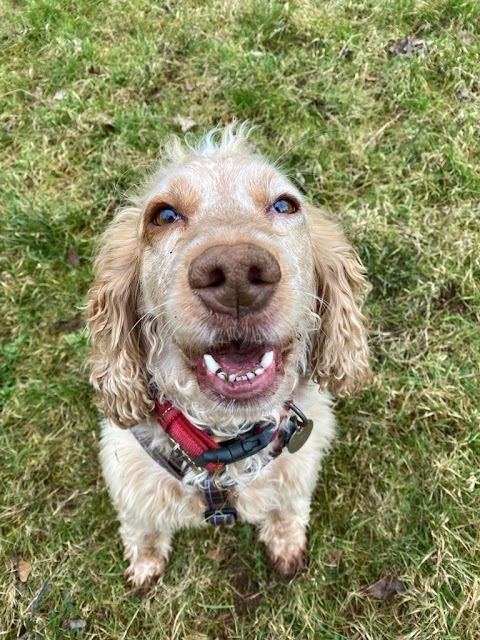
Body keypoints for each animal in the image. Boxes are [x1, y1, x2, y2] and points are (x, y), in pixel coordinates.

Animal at [87, 122, 372, 588]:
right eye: (163, 216)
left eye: (284, 204)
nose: (237, 273)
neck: (223, 447)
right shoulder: (130, 478)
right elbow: (142, 528)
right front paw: (145, 563)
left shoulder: (296, 468)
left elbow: (287, 508)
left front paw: (286, 545)